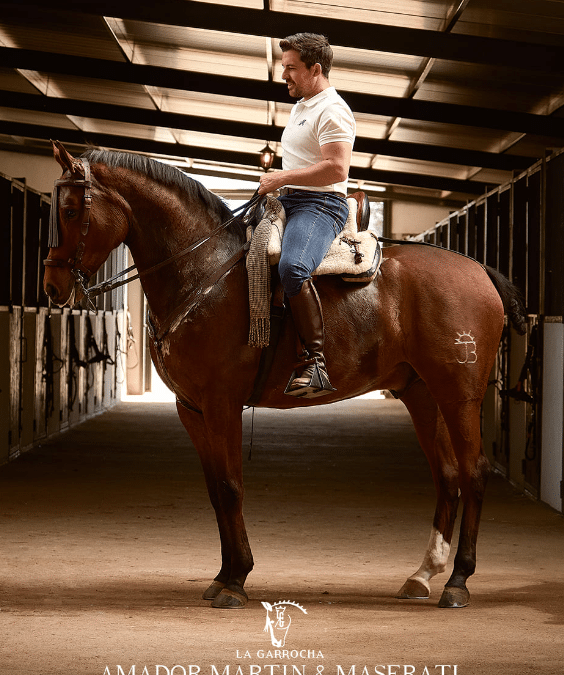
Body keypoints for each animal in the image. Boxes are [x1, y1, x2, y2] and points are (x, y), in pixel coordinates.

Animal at [44, 143, 528, 612]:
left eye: (69, 210)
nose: (52, 287)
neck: (202, 272)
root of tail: (479, 270)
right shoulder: (191, 409)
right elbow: (215, 490)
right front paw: (222, 575)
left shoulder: (222, 405)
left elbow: (230, 486)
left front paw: (236, 581)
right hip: (422, 394)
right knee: (447, 475)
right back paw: (422, 575)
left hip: (459, 397)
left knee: (474, 472)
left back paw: (458, 581)